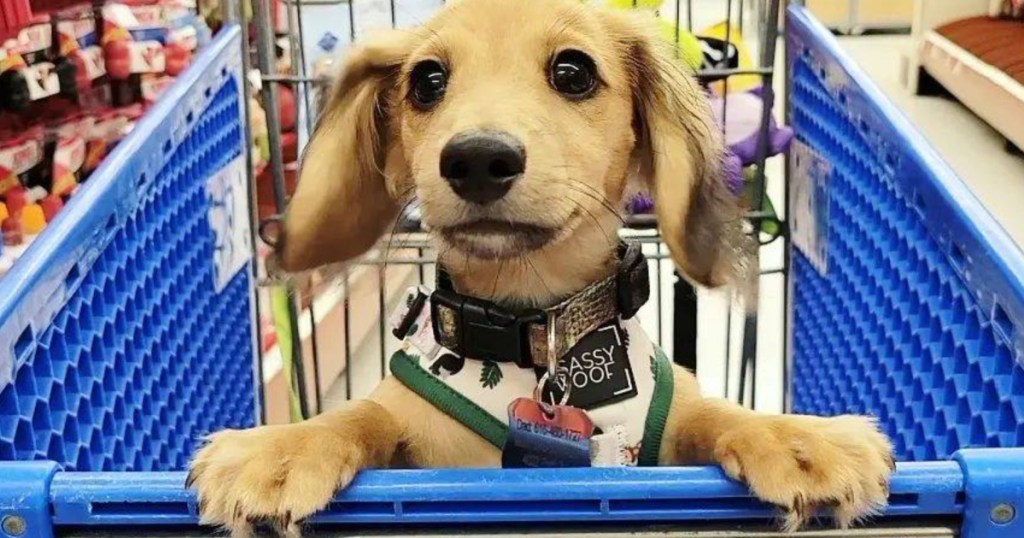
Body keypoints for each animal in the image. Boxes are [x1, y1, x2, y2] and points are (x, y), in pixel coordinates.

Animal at [188, 2, 892, 532]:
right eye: (426, 81)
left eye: (573, 71)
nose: (476, 159)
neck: (534, 335)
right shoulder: (413, 436)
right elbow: (364, 414)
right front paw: (283, 446)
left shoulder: (662, 432)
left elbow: (717, 414)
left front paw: (797, 438)